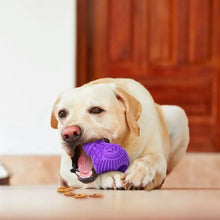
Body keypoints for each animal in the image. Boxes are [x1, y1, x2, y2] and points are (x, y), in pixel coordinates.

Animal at [50, 78, 189, 190]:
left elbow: (150, 159)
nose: (69, 133)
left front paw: (139, 172)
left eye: (96, 110)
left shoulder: (158, 156)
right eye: (61, 113)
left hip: (179, 114)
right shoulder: (66, 169)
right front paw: (110, 175)